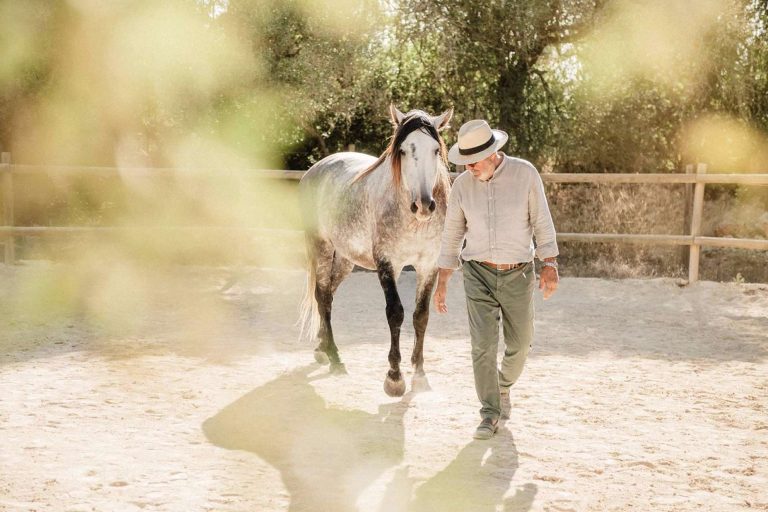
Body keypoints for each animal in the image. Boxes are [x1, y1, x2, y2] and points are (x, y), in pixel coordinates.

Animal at [298, 105, 453, 396]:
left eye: (436, 150)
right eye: (402, 150)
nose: (424, 205)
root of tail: (316, 168)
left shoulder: (428, 265)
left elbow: (421, 316)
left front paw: (419, 374)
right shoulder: (386, 263)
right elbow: (396, 312)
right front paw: (394, 378)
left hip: (345, 259)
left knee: (329, 295)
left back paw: (322, 348)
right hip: (320, 247)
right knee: (322, 296)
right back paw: (335, 358)